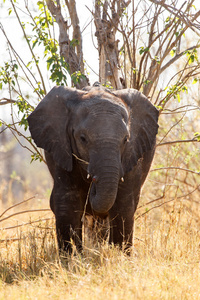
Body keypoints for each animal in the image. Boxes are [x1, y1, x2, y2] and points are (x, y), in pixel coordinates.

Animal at [27, 85, 159, 254]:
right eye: (83, 138)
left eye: (126, 139)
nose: (94, 180)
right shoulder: (61, 150)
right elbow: (68, 203)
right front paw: (72, 258)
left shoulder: (133, 154)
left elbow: (123, 204)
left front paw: (118, 256)